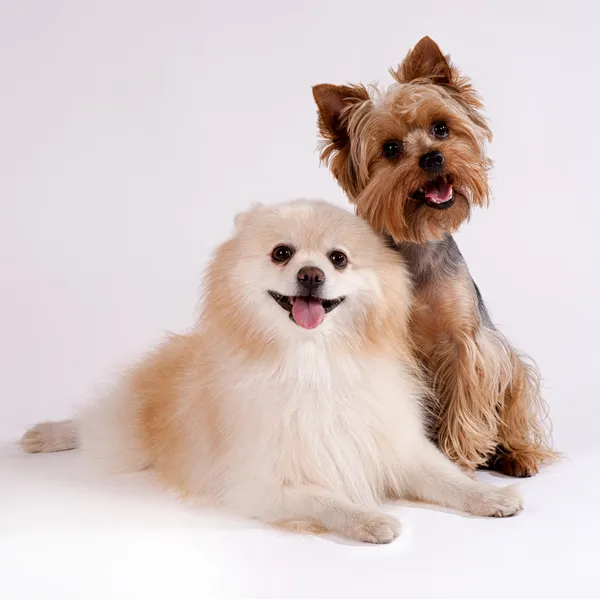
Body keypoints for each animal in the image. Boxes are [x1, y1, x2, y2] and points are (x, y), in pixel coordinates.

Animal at [22, 202, 520, 544]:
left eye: (338, 258)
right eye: (282, 253)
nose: (311, 274)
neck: (316, 360)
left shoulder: (392, 445)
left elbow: (448, 479)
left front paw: (490, 497)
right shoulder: (261, 482)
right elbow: (326, 498)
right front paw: (369, 518)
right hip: (126, 436)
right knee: (90, 426)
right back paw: (48, 434)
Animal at [312, 38, 560, 478]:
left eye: (440, 128)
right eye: (391, 149)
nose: (432, 157)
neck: (419, 241)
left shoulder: (468, 343)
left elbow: (466, 398)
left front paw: (459, 459)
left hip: (512, 368)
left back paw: (517, 455)